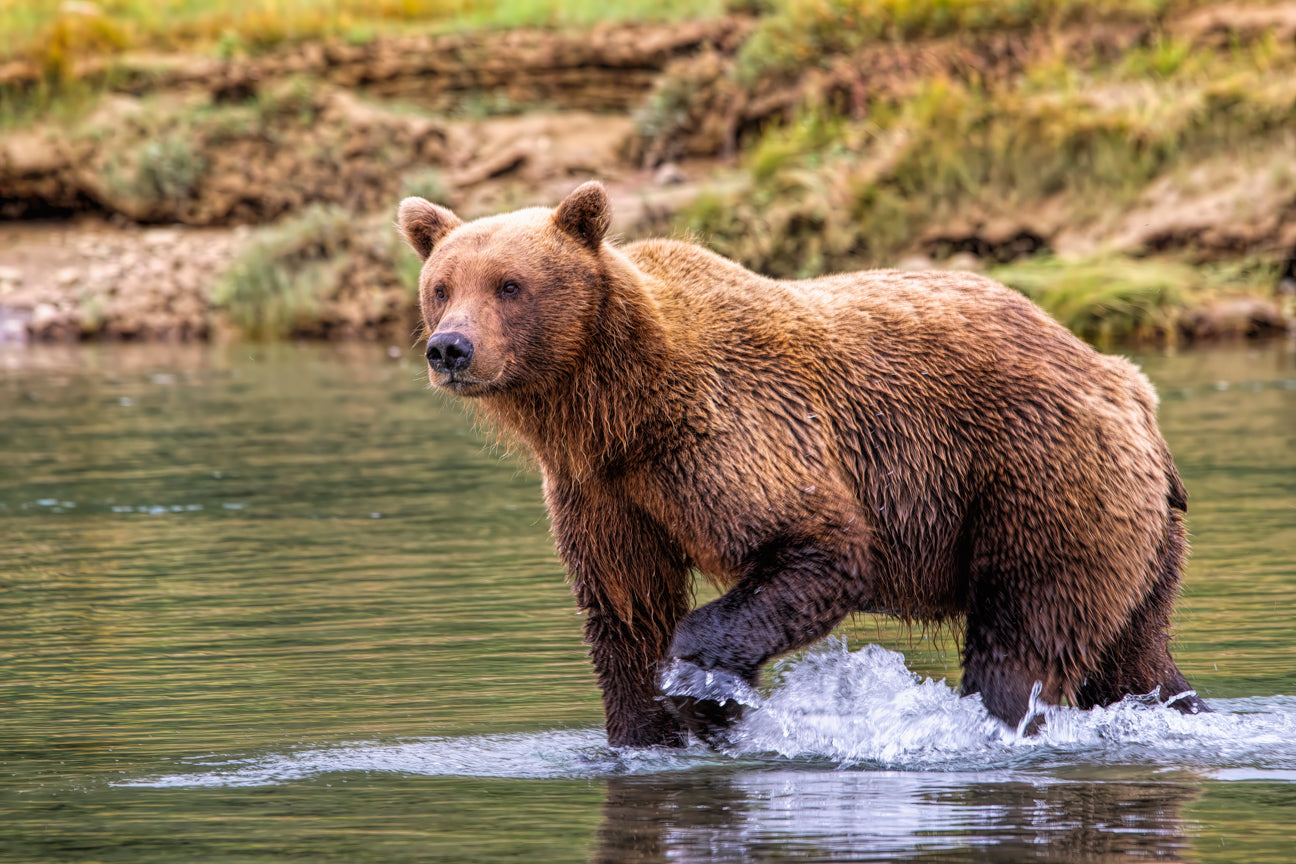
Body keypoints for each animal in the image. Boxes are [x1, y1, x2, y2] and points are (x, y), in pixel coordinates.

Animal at [399, 182, 1207, 751]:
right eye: (441, 285)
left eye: (509, 284)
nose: (450, 348)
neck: (612, 406)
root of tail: (1127, 385)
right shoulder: (602, 491)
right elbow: (624, 609)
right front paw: (645, 732)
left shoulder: (726, 432)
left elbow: (818, 547)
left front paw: (708, 697)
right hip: (1138, 533)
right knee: (1133, 655)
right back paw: (1180, 709)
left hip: (1041, 480)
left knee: (1021, 639)